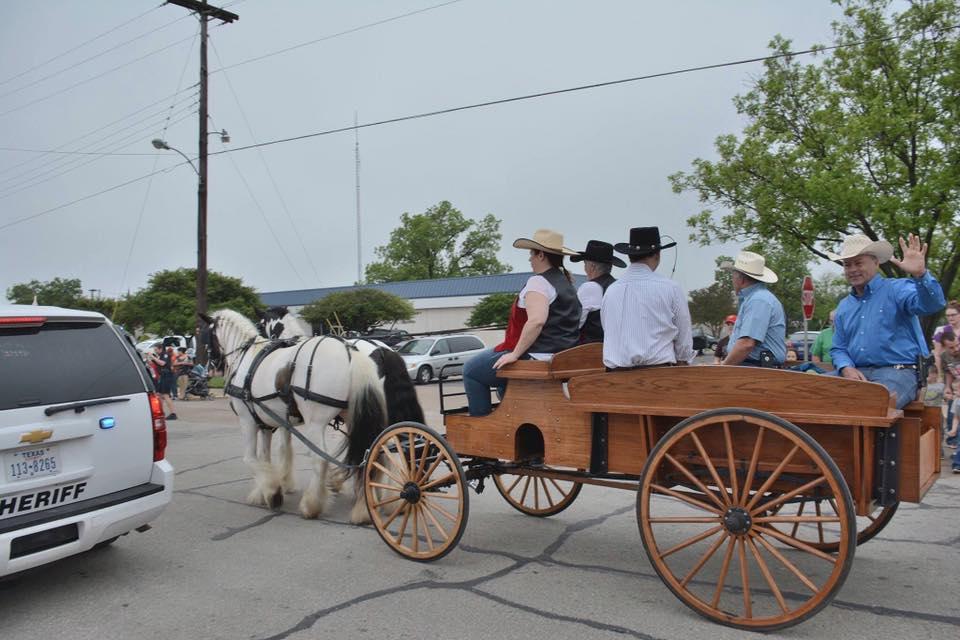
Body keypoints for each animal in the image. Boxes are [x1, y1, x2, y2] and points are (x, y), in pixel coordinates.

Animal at [199, 310, 390, 524]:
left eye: (206, 336)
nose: (210, 367)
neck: (247, 359)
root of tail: (351, 352)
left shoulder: (247, 420)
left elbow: (251, 458)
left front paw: (273, 492)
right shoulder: (267, 423)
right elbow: (266, 457)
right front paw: (264, 491)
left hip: (316, 423)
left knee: (321, 459)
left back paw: (311, 505)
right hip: (354, 417)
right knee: (374, 453)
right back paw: (365, 507)